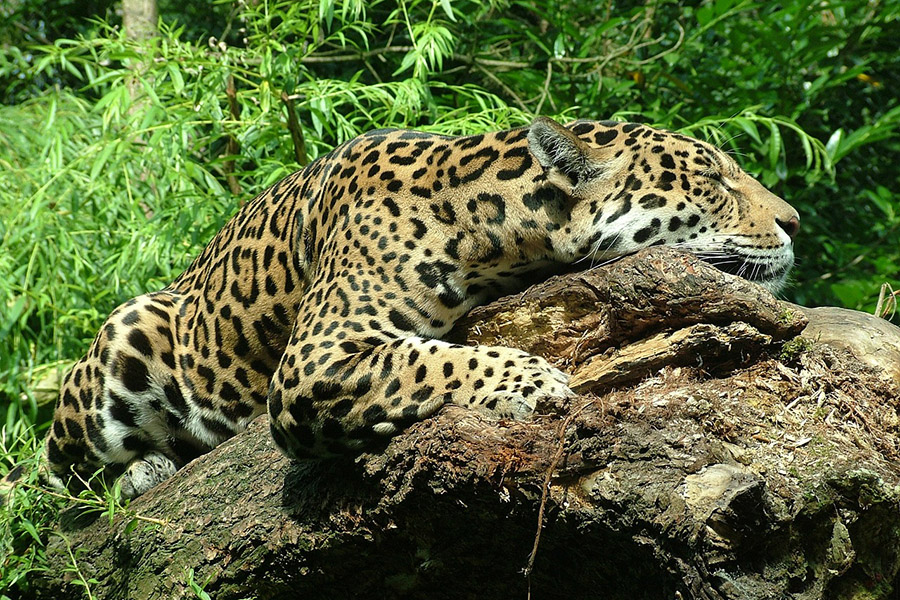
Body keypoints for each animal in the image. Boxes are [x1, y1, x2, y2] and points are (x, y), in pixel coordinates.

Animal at [14, 116, 800, 498]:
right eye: (712, 179)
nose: (794, 221)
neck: (493, 223)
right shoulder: (315, 358)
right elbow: (424, 361)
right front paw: (533, 381)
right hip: (125, 343)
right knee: (51, 486)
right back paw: (137, 471)